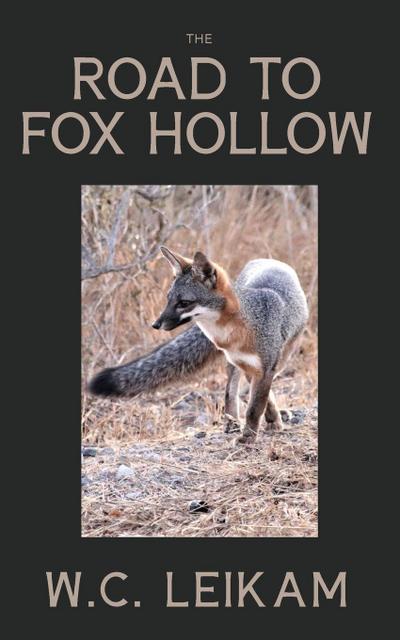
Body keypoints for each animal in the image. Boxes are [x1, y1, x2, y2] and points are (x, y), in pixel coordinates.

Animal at [89, 246, 309, 443]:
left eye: (184, 303)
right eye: (168, 299)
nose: (155, 324)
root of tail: (268, 260)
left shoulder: (264, 367)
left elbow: (256, 407)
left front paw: (250, 436)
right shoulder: (248, 365)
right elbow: (254, 400)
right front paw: (260, 427)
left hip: (282, 358)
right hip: (238, 365)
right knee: (231, 391)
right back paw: (233, 422)